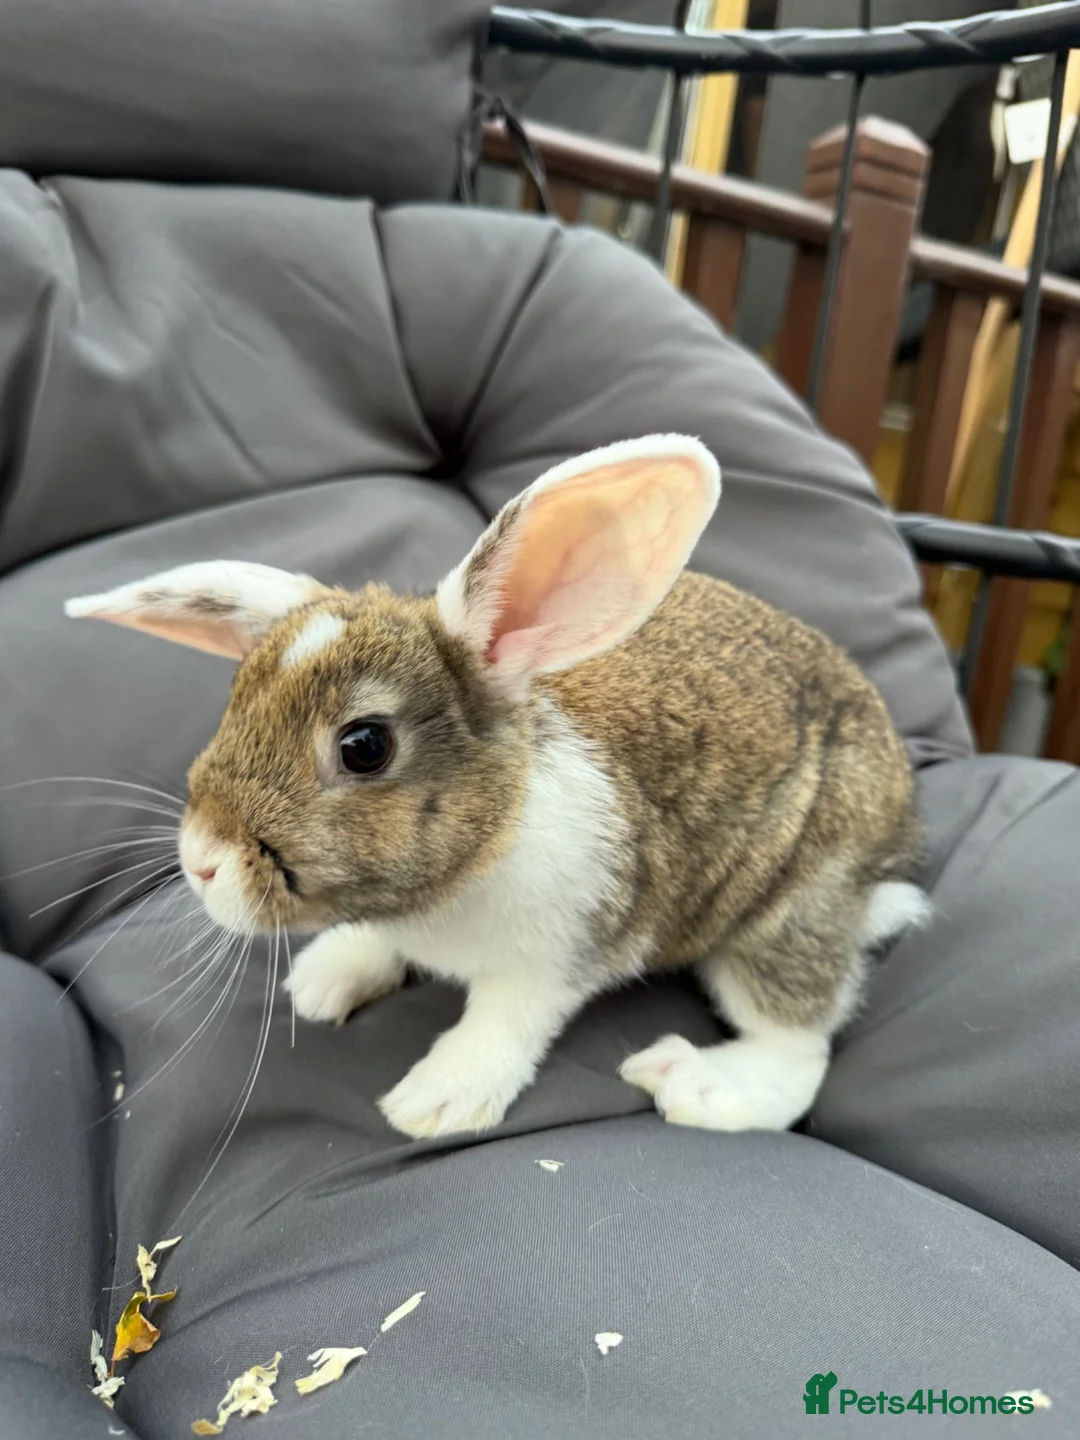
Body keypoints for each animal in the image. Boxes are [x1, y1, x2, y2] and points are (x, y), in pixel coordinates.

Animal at [65, 434, 928, 1140]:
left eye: (364, 746)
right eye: (236, 696)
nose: (200, 862)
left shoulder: (558, 957)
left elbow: (504, 1023)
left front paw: (437, 1101)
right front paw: (325, 979)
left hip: (788, 914)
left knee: (797, 1046)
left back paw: (698, 1083)